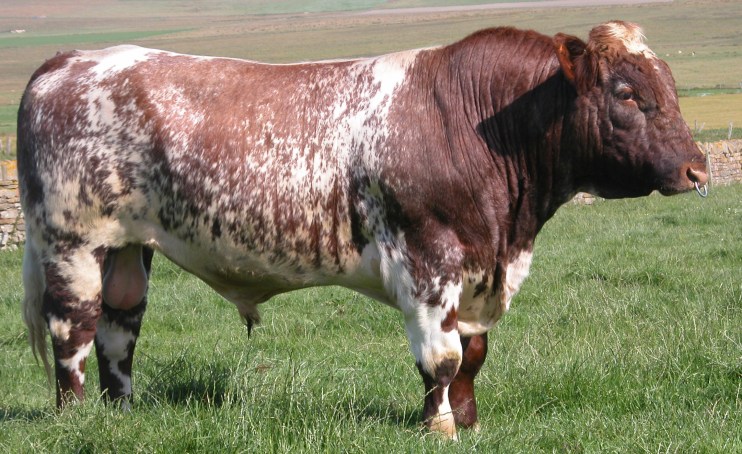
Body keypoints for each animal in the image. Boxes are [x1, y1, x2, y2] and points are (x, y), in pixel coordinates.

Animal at [17, 21, 707, 439]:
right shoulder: (428, 261)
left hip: (127, 247)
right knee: (73, 328)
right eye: (626, 92)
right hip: (70, 242)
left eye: (670, 86)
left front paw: (470, 422)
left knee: (120, 328)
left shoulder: (480, 268)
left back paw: (123, 413)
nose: (697, 168)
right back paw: (76, 419)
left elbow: (474, 355)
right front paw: (439, 427)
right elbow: (442, 358)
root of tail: (70, 59)